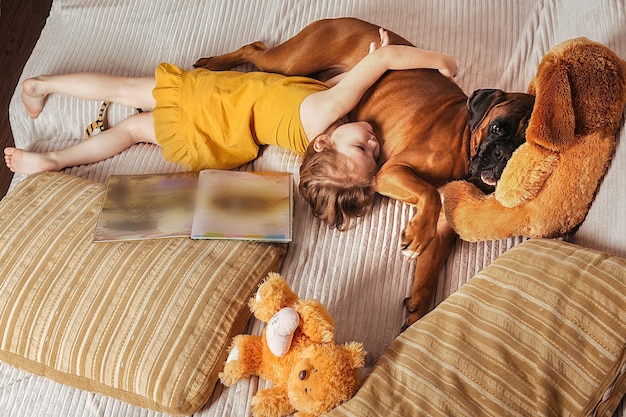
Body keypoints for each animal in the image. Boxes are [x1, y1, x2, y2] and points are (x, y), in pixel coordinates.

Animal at [194, 17, 532, 328]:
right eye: (497, 128)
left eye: (526, 145)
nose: (504, 154)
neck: (465, 143)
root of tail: (343, 19)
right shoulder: (391, 172)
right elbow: (429, 193)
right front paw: (415, 233)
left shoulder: (441, 232)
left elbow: (428, 273)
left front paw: (417, 311)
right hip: (289, 63)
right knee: (255, 49)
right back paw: (213, 63)